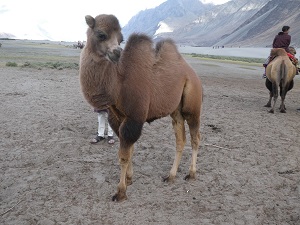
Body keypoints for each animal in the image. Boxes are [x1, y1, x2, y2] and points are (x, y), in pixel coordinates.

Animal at [78, 14, 203, 202]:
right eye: (101, 34)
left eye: (121, 39)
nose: (117, 52)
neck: (119, 83)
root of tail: (193, 74)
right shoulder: (117, 118)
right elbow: (130, 151)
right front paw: (129, 179)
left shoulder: (134, 118)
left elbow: (124, 156)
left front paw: (120, 192)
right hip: (176, 111)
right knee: (180, 140)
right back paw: (171, 176)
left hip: (192, 106)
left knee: (195, 138)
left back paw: (191, 174)